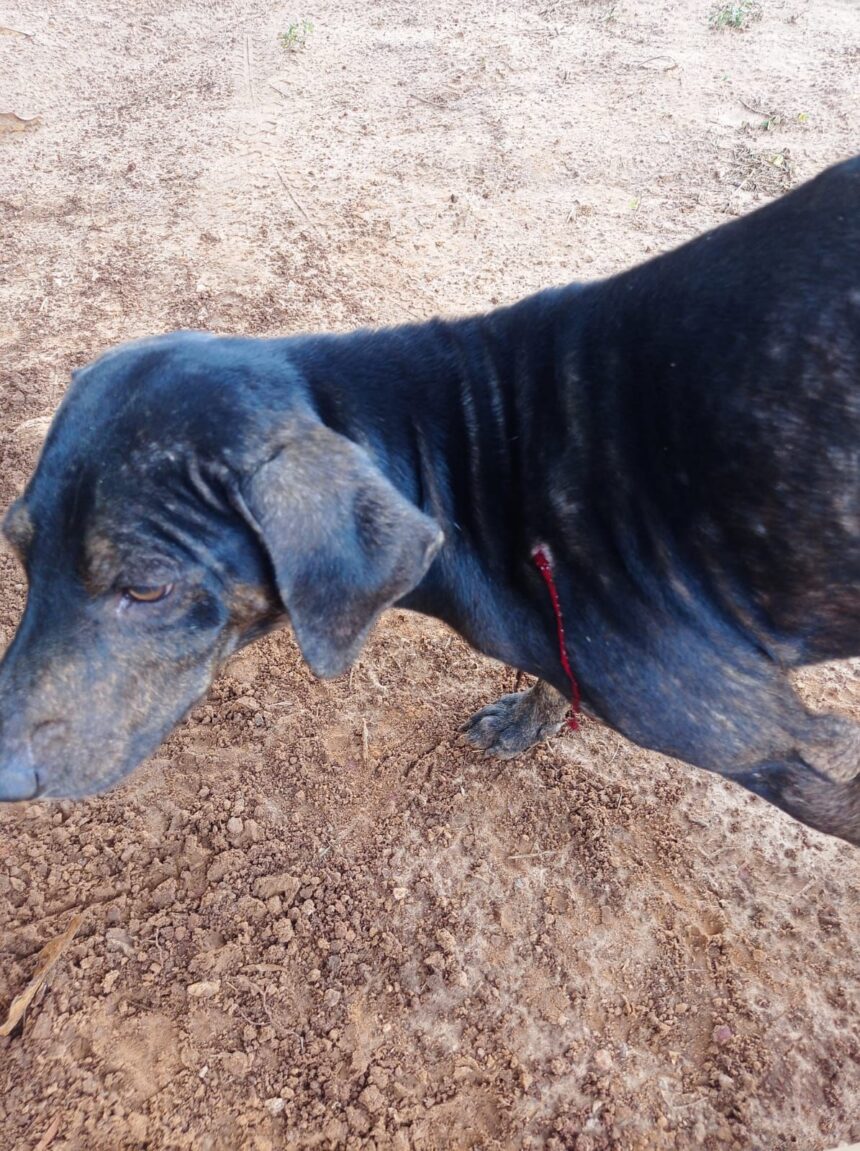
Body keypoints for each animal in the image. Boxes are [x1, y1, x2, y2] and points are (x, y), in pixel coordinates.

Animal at [0, 155, 856, 847]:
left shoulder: (789, 742)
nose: (4, 776)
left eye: (146, 587)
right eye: (20, 549)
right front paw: (531, 717)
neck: (479, 450)